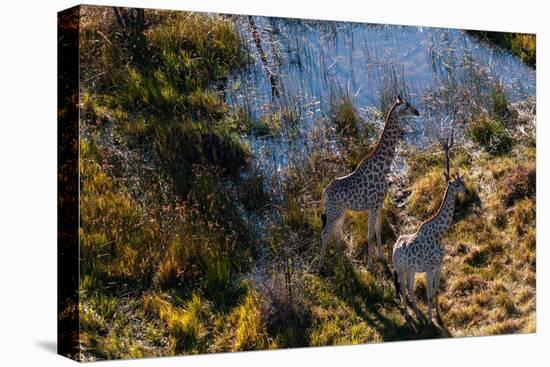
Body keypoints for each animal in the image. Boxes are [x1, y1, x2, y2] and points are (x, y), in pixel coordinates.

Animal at [320, 96, 422, 272]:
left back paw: (342, 262)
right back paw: (320, 267)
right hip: (333, 212)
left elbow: (378, 231)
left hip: (340, 211)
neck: (383, 166)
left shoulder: (379, 204)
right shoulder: (372, 205)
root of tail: (325, 192)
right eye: (406, 106)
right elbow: (370, 235)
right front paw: (370, 266)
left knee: (337, 232)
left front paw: (381, 257)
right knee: (325, 233)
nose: (417, 112)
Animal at [392, 136, 470, 324]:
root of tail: (393, 249)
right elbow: (428, 294)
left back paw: (417, 313)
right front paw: (430, 321)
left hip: (411, 270)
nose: (468, 192)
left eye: (464, 181)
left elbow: (435, 291)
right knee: (403, 289)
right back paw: (408, 316)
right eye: (458, 184)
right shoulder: (428, 268)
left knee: (409, 289)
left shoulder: (439, 265)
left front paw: (438, 316)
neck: (439, 234)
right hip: (401, 270)